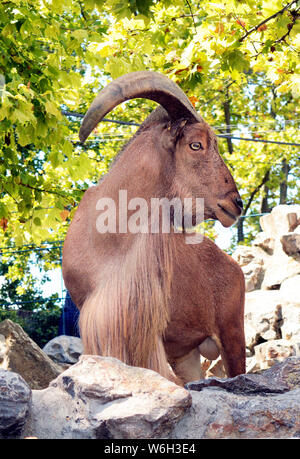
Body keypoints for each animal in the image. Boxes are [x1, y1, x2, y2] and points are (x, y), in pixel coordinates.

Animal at [62, 72, 245, 386]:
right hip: (186, 355)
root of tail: (234, 267)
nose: (236, 203)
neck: (109, 236)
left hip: (233, 334)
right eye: (195, 144)